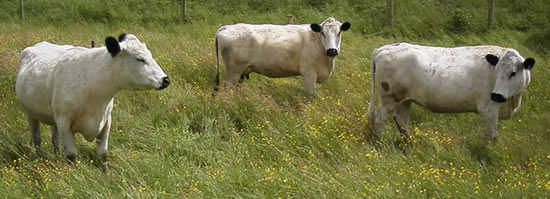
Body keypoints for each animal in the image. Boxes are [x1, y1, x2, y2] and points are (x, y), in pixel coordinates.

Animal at [15, 33, 170, 172]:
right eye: (140, 59)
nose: (165, 79)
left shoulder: (106, 120)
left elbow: (103, 153)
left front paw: (106, 175)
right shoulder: (64, 121)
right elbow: (71, 155)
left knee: (55, 139)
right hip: (31, 114)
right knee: (37, 138)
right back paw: (39, 157)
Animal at [213, 16, 352, 96]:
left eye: (339, 32)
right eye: (322, 33)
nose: (332, 51)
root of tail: (226, 27)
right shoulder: (308, 74)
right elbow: (311, 96)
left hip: (240, 72)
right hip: (233, 72)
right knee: (227, 90)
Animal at [368, 42, 536, 141]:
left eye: (513, 73)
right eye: (497, 70)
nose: (496, 95)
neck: (513, 101)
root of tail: (387, 47)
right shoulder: (488, 109)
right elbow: (492, 136)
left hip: (405, 100)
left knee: (401, 121)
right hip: (389, 98)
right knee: (379, 118)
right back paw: (379, 143)